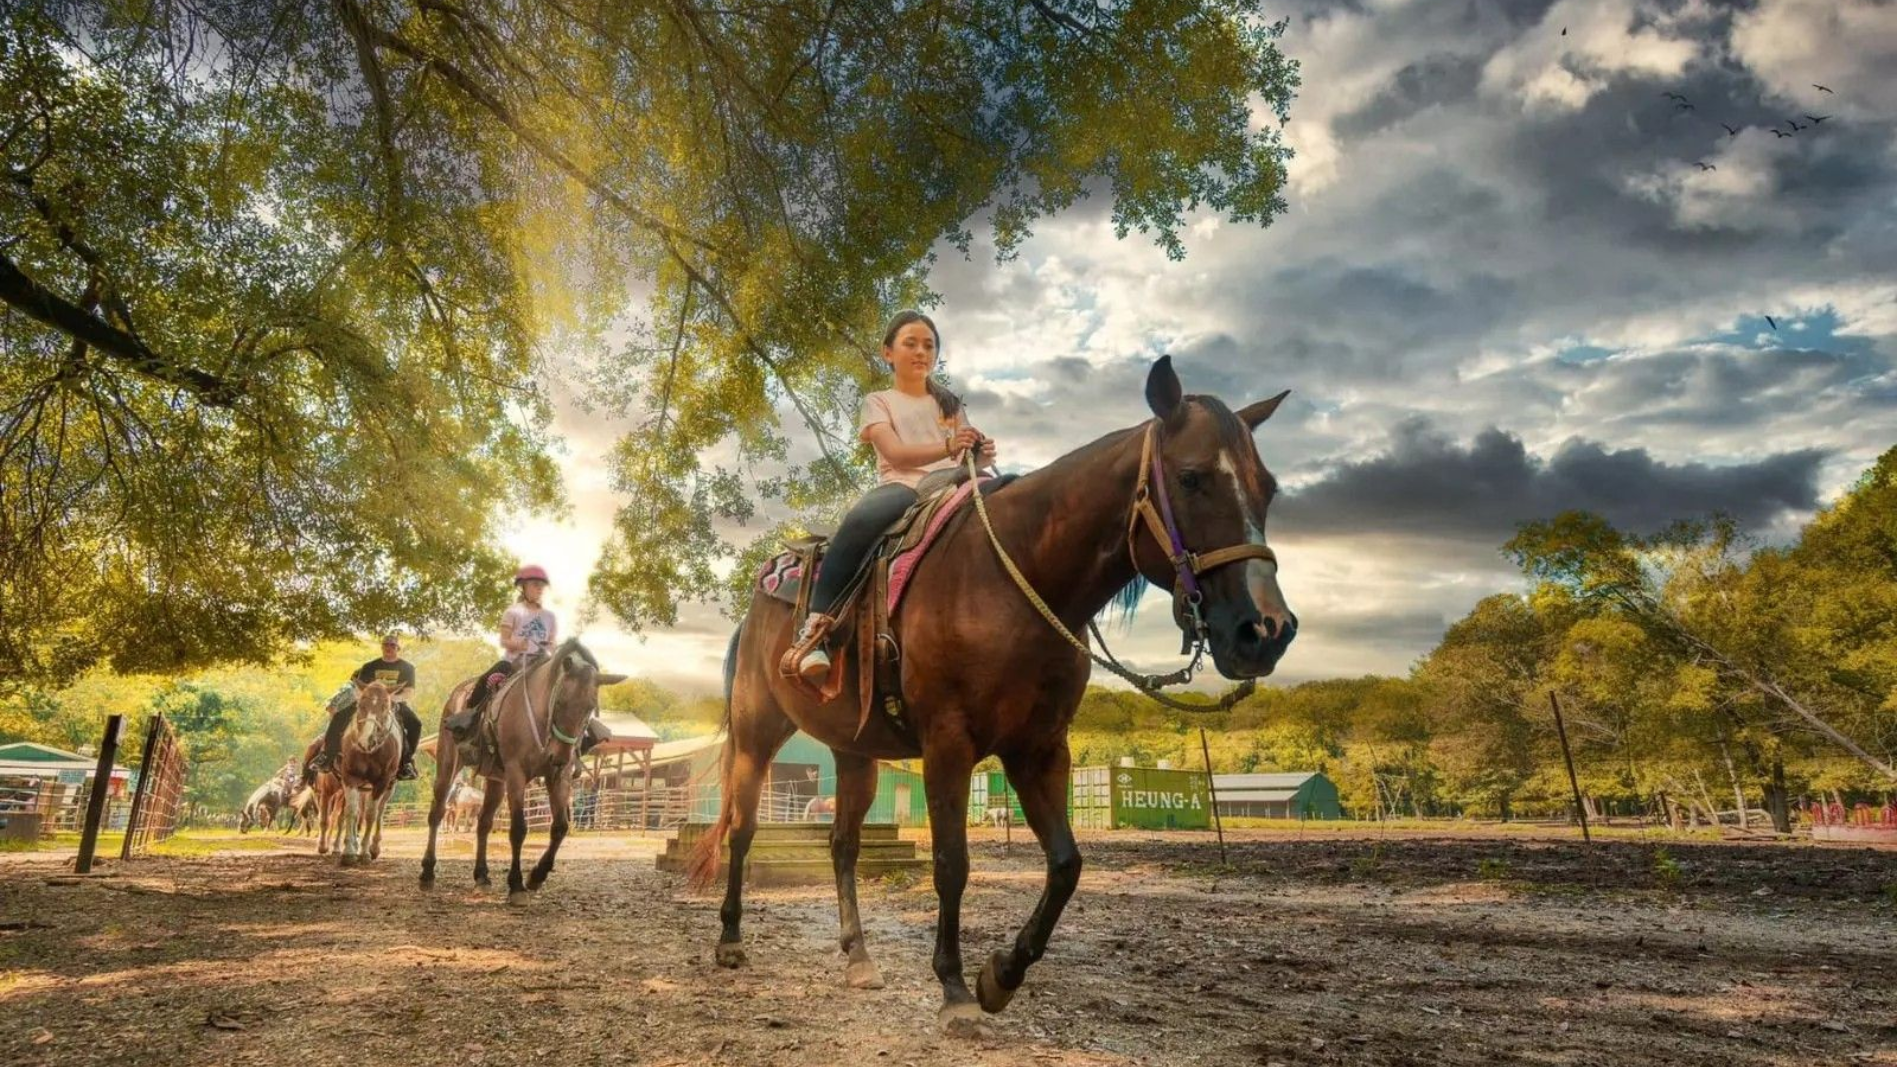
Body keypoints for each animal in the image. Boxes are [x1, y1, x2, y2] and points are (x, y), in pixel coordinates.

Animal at [327, 679, 406, 866]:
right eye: (360, 705)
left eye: (385, 707)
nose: (366, 740)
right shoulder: (350, 777)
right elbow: (352, 812)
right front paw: (349, 852)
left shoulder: (382, 782)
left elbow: (371, 814)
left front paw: (364, 853)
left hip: (389, 787)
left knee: (379, 812)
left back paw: (374, 847)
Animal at [419, 639, 624, 901]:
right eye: (560, 702)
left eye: (590, 707)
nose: (559, 756)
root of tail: (456, 695)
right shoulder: (516, 774)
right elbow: (518, 829)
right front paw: (516, 884)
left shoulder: (559, 776)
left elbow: (560, 827)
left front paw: (537, 876)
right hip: (447, 765)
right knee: (436, 814)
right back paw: (427, 873)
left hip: (496, 780)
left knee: (484, 823)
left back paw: (481, 876)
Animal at [691, 357, 1297, 1031]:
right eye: (1191, 479)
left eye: (1267, 488)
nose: (1266, 630)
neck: (1015, 578)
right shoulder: (948, 745)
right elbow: (952, 864)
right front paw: (955, 988)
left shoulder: (1039, 749)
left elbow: (1066, 865)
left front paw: (1000, 976)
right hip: (757, 734)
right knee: (742, 829)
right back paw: (730, 940)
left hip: (855, 753)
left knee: (842, 844)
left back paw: (859, 957)